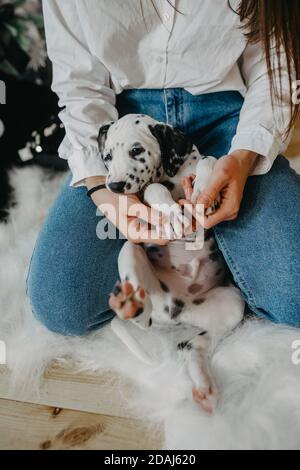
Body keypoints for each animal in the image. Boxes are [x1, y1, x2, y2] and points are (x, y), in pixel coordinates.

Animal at [97, 114, 245, 414]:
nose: (114, 186)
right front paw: (174, 213)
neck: (172, 176)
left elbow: (210, 159)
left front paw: (204, 188)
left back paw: (204, 388)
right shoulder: (145, 197)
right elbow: (153, 188)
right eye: (107, 157)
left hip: (232, 306)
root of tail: (170, 311)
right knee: (142, 319)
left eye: (136, 151)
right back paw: (130, 305)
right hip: (130, 250)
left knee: (191, 346)